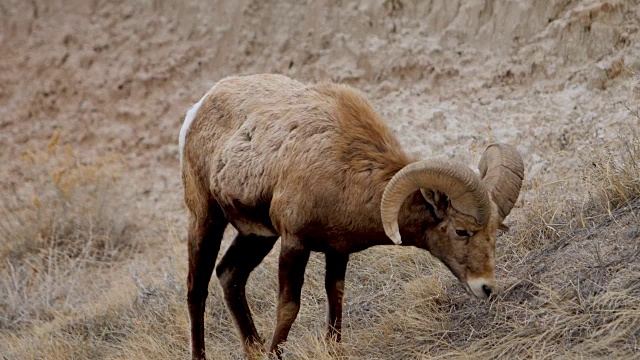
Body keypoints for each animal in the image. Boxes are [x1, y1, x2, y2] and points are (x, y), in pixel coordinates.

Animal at [180, 74, 524, 360]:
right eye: (461, 231)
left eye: (495, 232)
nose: (486, 288)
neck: (346, 169)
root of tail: (198, 108)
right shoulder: (294, 243)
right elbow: (288, 307)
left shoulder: (337, 251)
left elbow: (336, 298)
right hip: (206, 219)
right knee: (197, 290)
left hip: (257, 235)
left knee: (230, 275)